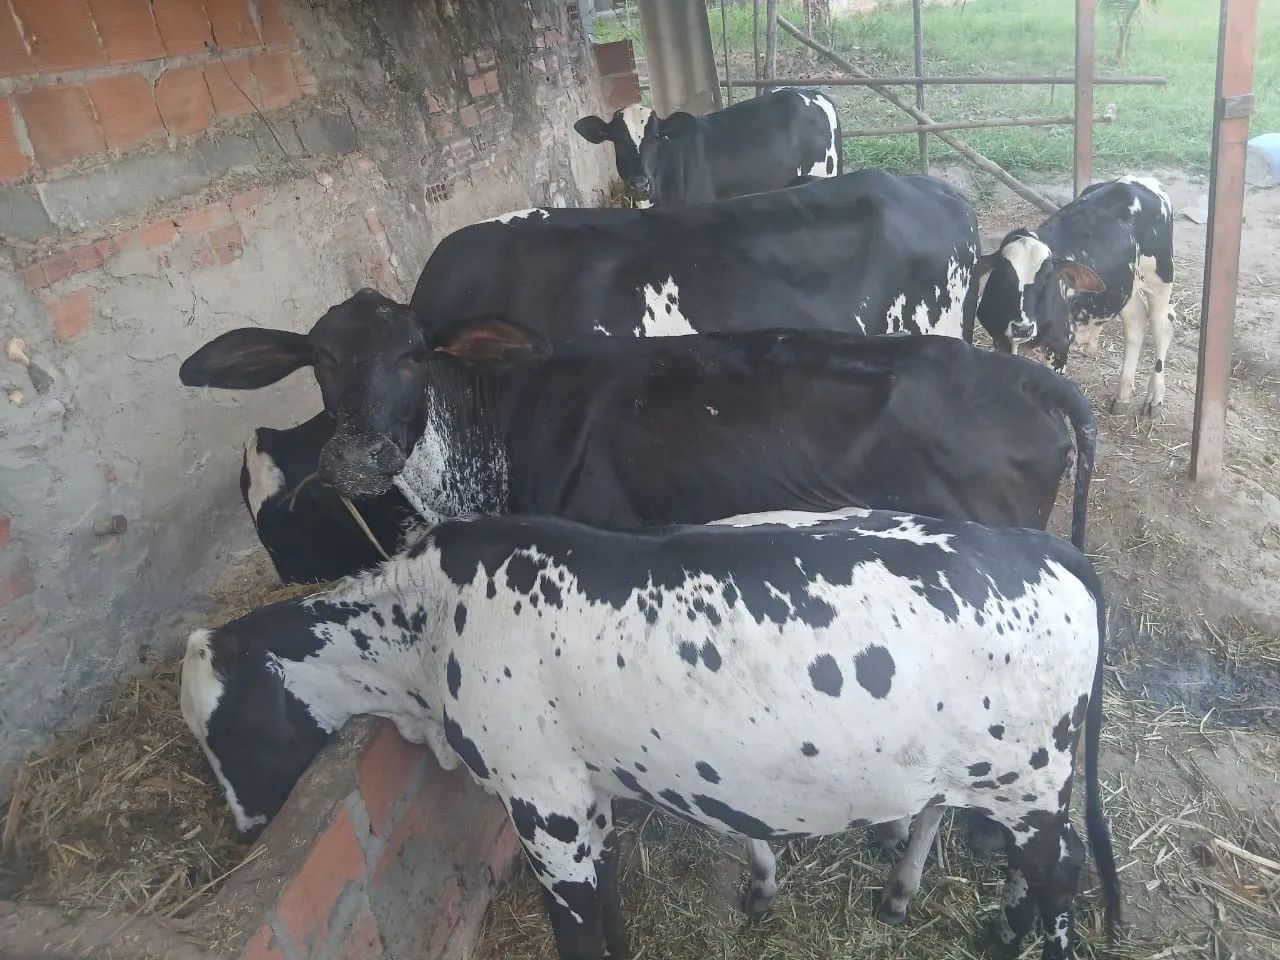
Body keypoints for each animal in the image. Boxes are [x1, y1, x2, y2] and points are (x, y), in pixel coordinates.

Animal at [181, 507, 1120, 960]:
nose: (248, 832)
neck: (428, 621)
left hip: (1030, 777)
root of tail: (1049, 549)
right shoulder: (585, 800)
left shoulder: (545, 805)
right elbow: (609, 907)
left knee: (1062, 872)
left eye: (228, 731)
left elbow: (578, 927)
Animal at [976, 176, 1175, 415]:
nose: (1022, 328)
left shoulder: (1059, 345)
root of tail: (1142, 180)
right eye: (1004, 275)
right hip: (1126, 288)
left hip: (1160, 277)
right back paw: (1122, 396)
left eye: (1047, 277)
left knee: (1163, 324)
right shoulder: (1000, 340)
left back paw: (1155, 398)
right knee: (1136, 323)